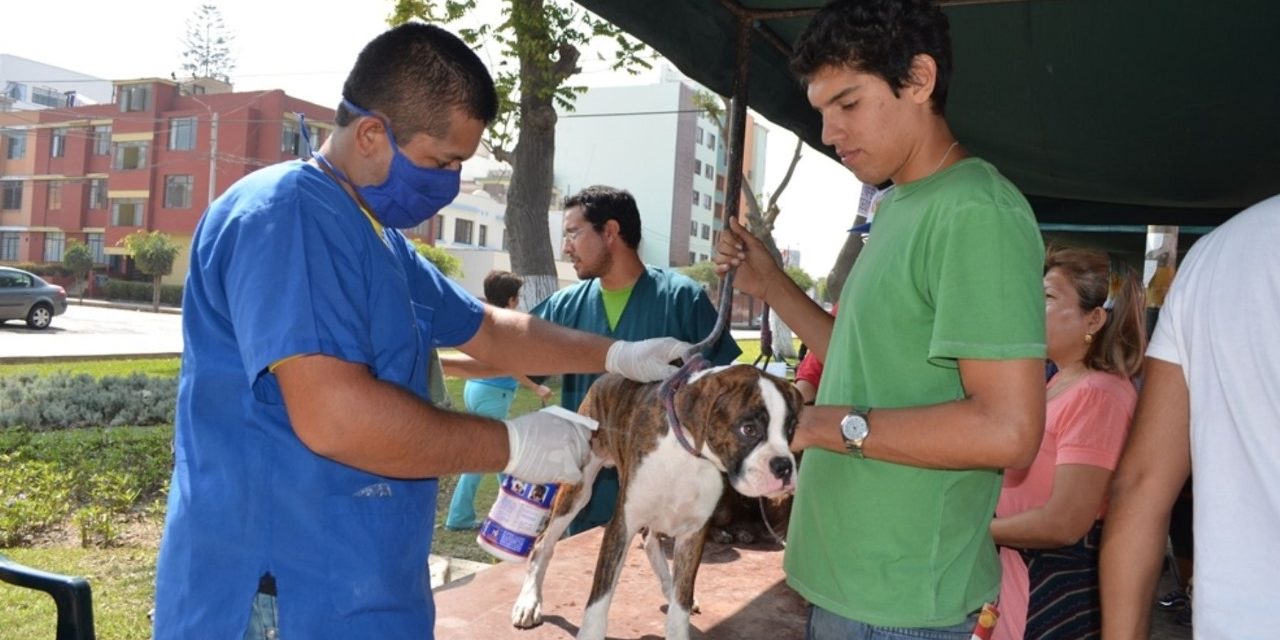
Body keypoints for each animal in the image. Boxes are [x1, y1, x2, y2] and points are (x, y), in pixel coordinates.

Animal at [509, 366, 798, 640]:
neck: (688, 455)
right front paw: (590, 632)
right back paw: (529, 602)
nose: (784, 467)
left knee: (652, 545)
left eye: (790, 430)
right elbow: (599, 600)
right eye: (748, 429)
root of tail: (606, 377)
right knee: (543, 543)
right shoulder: (621, 526)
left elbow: (681, 602)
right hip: (578, 489)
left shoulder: (693, 535)